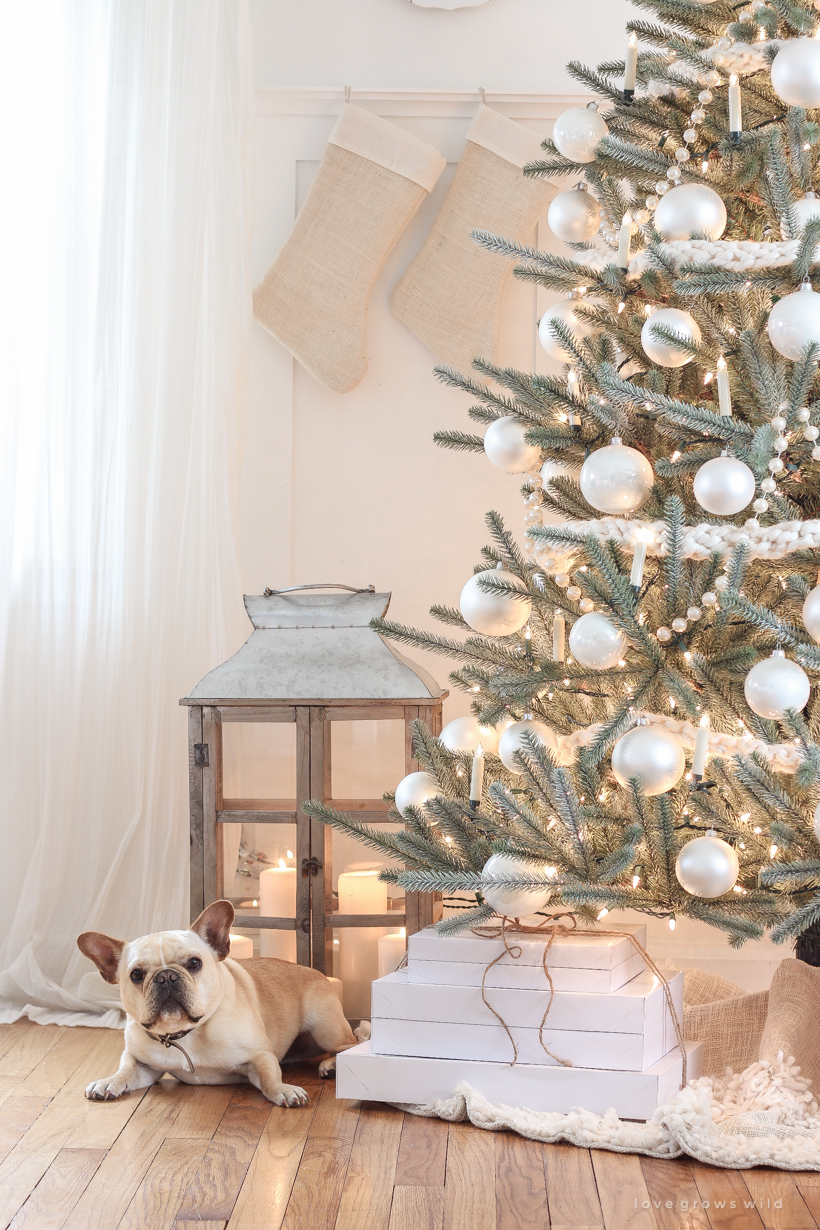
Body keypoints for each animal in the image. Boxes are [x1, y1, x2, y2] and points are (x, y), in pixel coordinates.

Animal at [76, 895, 366, 1107]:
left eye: (194, 963)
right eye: (136, 975)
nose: (166, 976)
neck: (184, 1033)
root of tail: (315, 971)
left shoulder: (259, 1055)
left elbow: (270, 1077)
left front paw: (284, 1089)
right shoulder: (142, 1063)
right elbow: (125, 1069)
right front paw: (108, 1081)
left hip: (325, 1030)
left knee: (350, 1044)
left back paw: (332, 1065)